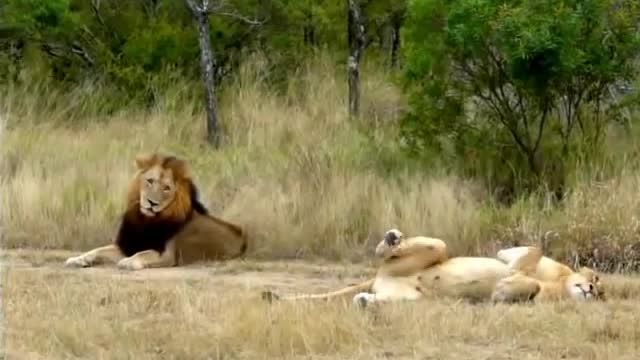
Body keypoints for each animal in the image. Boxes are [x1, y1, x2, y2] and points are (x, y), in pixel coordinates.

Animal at [65, 152, 249, 270]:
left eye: (166, 188)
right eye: (150, 181)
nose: (151, 203)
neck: (145, 220)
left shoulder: (168, 255)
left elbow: (144, 253)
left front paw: (128, 262)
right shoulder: (127, 245)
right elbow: (97, 250)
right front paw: (77, 259)